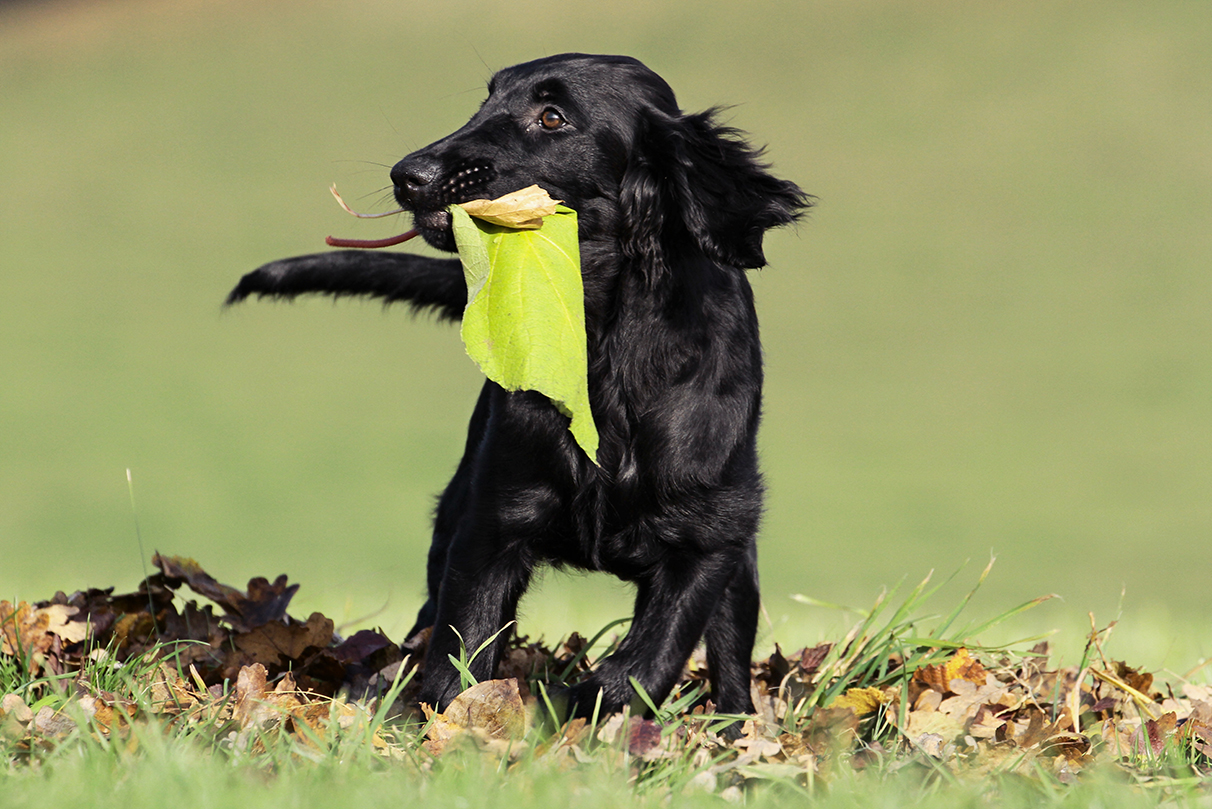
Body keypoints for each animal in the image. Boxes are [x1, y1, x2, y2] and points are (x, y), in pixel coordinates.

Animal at [229, 53, 814, 718]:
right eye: (484, 102)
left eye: (552, 116)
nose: (408, 176)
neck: (602, 343)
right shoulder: (492, 520)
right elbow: (462, 647)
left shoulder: (708, 534)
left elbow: (650, 656)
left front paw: (579, 707)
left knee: (730, 646)